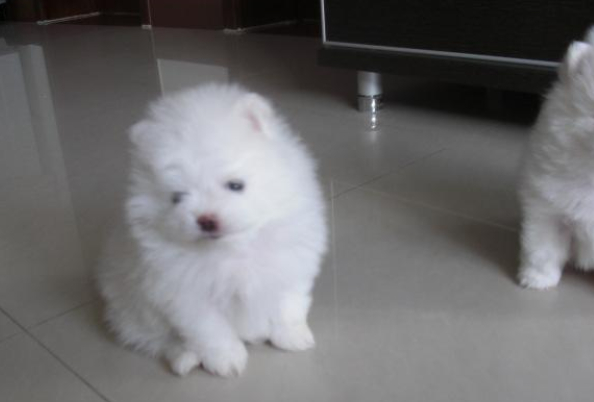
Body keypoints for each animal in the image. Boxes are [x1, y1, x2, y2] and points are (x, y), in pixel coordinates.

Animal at [97, 84, 327, 376]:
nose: (206, 219)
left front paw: (292, 336)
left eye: (235, 185)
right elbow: (210, 329)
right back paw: (184, 358)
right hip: (131, 311)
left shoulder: (289, 265)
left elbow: (288, 304)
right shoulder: (185, 293)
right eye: (177, 197)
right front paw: (226, 360)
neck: (234, 249)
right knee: (159, 340)